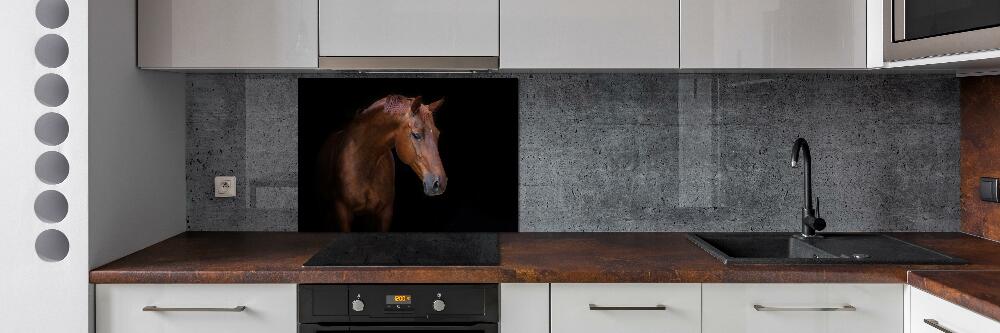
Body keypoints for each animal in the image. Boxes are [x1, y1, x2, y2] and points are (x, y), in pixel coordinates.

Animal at [318, 94, 448, 231]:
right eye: (416, 135)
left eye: (438, 134)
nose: (439, 183)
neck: (364, 163)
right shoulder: (342, 212)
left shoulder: (384, 213)